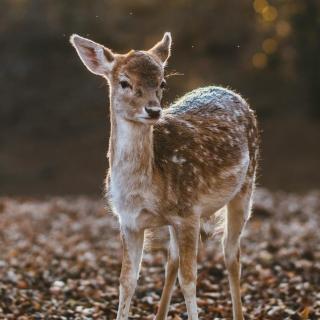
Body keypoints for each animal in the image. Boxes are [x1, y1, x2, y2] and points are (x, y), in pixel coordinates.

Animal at [70, 31, 260, 320]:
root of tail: (230, 91)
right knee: (172, 259)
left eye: (162, 82)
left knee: (231, 254)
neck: (143, 189)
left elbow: (189, 279)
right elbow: (127, 281)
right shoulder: (129, 222)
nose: (153, 110)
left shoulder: (190, 211)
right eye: (124, 82)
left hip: (246, 185)